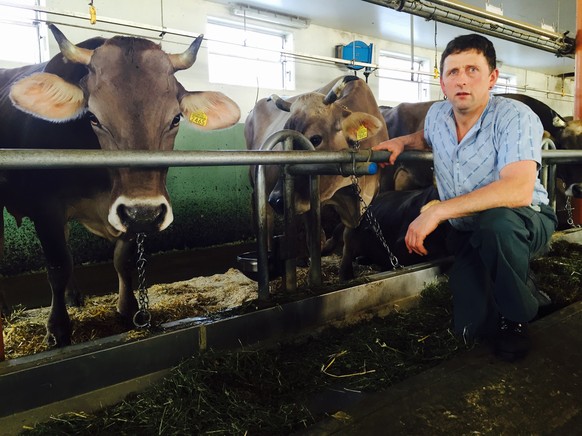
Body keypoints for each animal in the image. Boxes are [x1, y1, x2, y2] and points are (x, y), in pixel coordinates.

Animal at [0, 26, 242, 348]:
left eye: (176, 118)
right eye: (92, 117)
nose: (145, 213)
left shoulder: (128, 213)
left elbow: (122, 260)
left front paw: (129, 310)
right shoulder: (46, 208)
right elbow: (58, 265)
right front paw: (58, 329)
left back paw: (75, 296)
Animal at [244, 74, 390, 280]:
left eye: (315, 139)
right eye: (284, 139)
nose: (277, 199)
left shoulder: (367, 197)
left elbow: (349, 235)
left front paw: (346, 273)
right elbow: (315, 238)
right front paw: (314, 276)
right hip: (261, 185)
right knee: (268, 218)